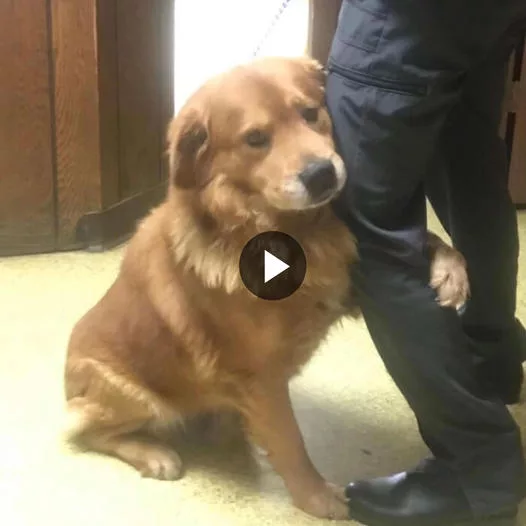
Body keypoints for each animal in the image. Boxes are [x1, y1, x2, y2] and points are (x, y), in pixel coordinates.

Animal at [64, 56, 472, 520]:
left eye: (310, 113)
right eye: (256, 139)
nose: (321, 174)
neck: (283, 231)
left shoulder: (339, 294)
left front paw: (449, 267)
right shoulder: (260, 377)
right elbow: (291, 442)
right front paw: (317, 498)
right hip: (139, 398)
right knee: (90, 431)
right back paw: (154, 453)